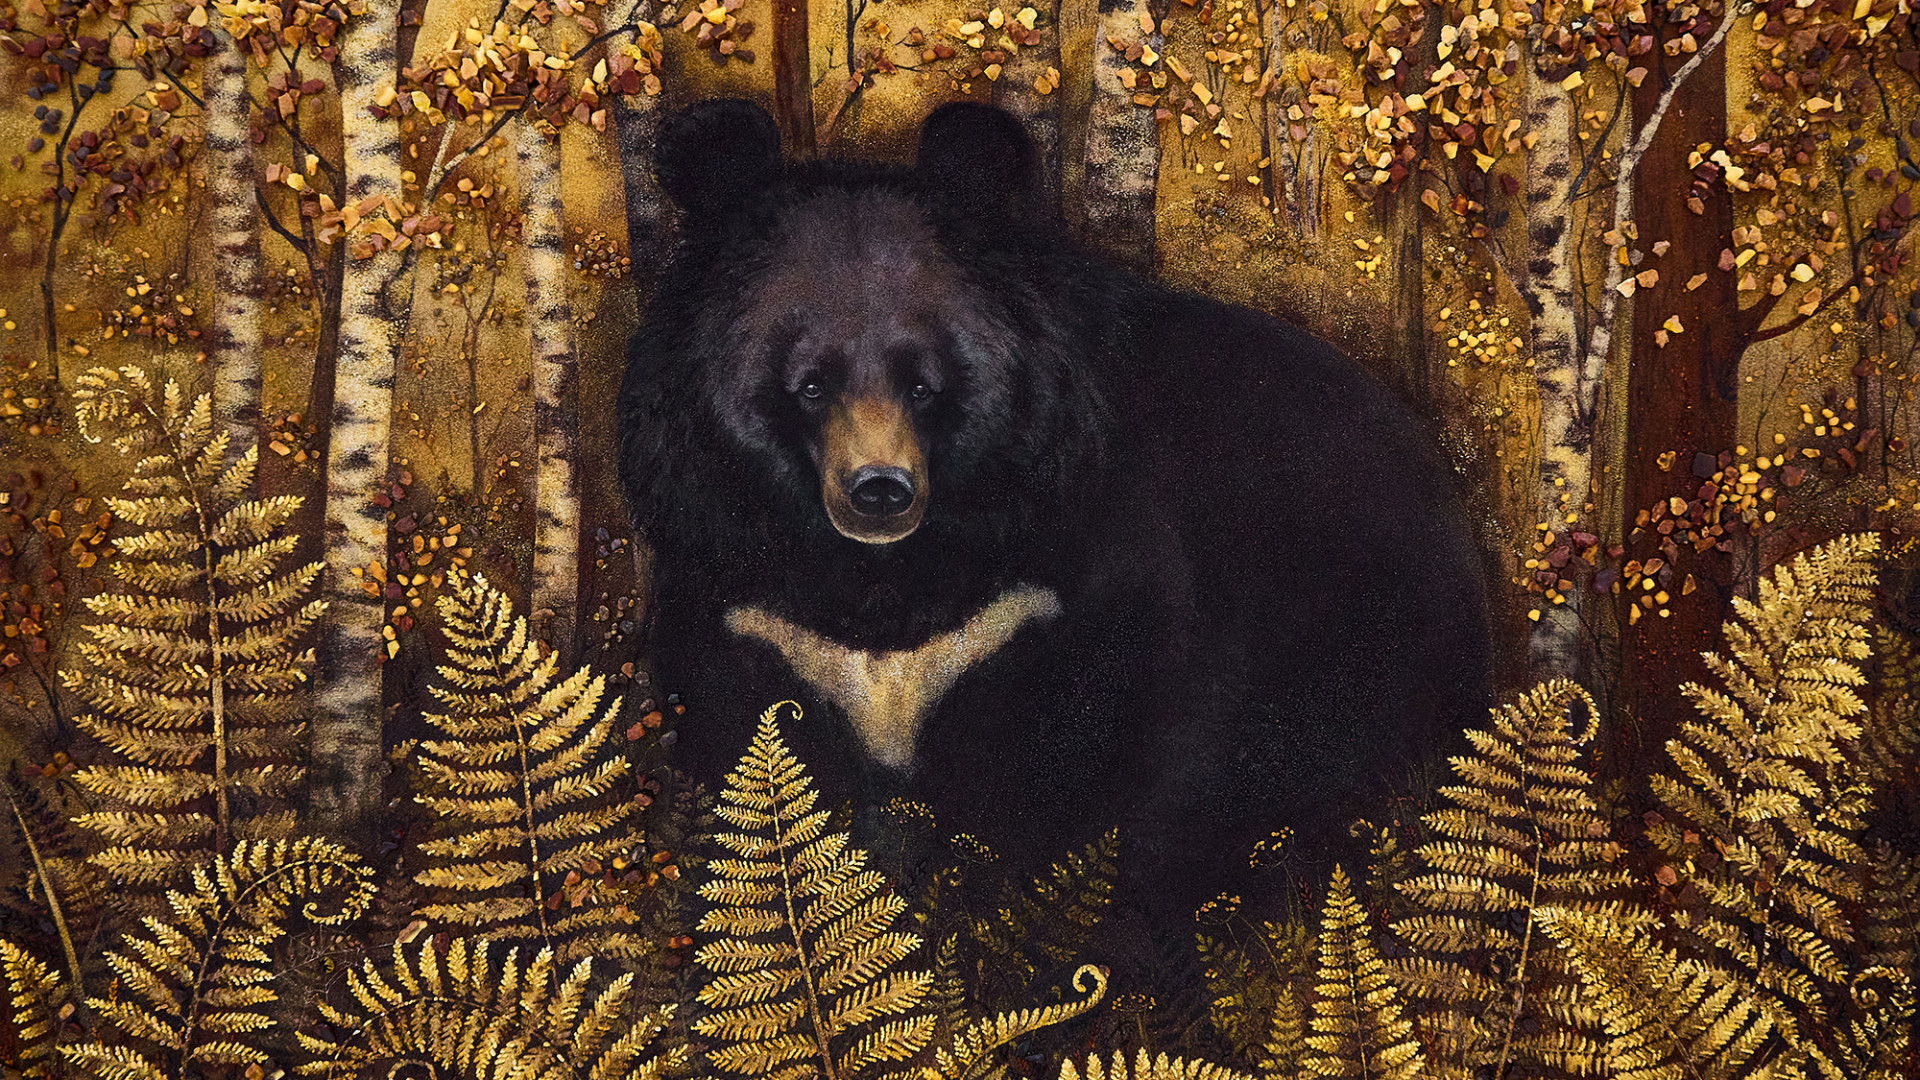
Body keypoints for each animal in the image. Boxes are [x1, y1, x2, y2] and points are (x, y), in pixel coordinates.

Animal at [617, 98, 1493, 980]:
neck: (886, 576)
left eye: (924, 381)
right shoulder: (745, 598)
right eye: (809, 382)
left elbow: (1101, 784)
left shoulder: (1067, 589)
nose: (879, 491)